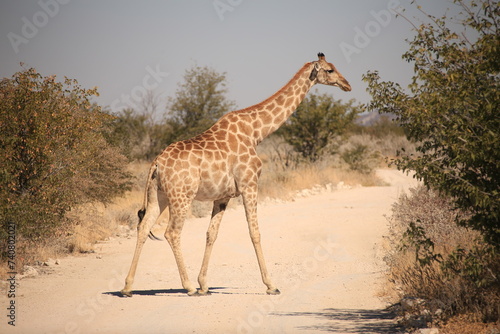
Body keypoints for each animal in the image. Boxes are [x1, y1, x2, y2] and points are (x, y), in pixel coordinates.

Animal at [121, 52, 352, 298]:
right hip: (181, 196)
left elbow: (211, 234)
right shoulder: (249, 184)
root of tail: (156, 163)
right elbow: (255, 232)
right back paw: (188, 287)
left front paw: (204, 284)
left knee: (144, 227)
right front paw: (271, 285)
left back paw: (128, 287)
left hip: (159, 195)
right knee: (172, 233)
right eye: (329, 70)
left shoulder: (222, 196)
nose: (347, 85)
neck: (256, 132)